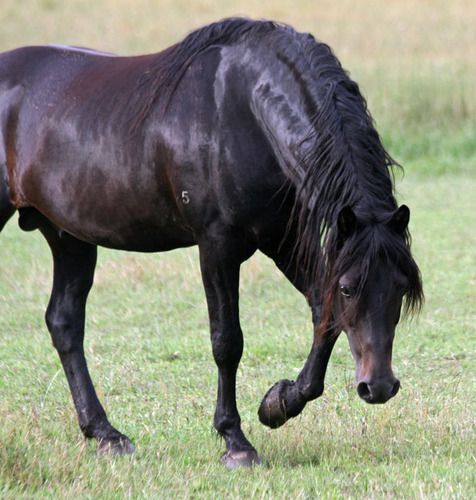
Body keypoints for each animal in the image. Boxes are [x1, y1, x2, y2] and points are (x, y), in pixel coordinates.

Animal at [0, 18, 423, 468]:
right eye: (348, 288)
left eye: (401, 288)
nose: (378, 387)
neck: (245, 110)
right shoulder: (217, 246)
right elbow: (227, 341)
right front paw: (235, 441)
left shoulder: (279, 238)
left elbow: (324, 316)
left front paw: (278, 403)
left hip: (69, 236)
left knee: (64, 323)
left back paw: (105, 434)